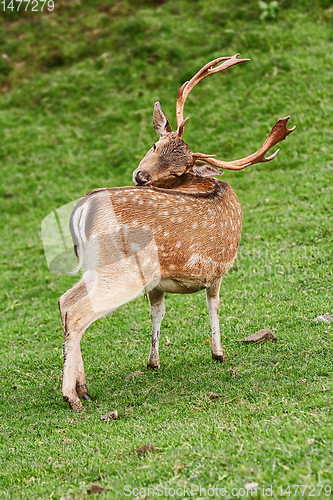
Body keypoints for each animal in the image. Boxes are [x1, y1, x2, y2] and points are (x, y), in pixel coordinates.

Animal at [57, 54, 294, 412]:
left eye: (178, 169)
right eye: (156, 143)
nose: (140, 176)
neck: (209, 185)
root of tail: (85, 206)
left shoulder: (160, 285)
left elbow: (158, 311)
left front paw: (153, 362)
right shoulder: (218, 269)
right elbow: (214, 305)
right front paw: (219, 353)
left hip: (95, 267)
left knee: (65, 301)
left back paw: (84, 388)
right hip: (122, 269)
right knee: (77, 311)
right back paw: (72, 396)